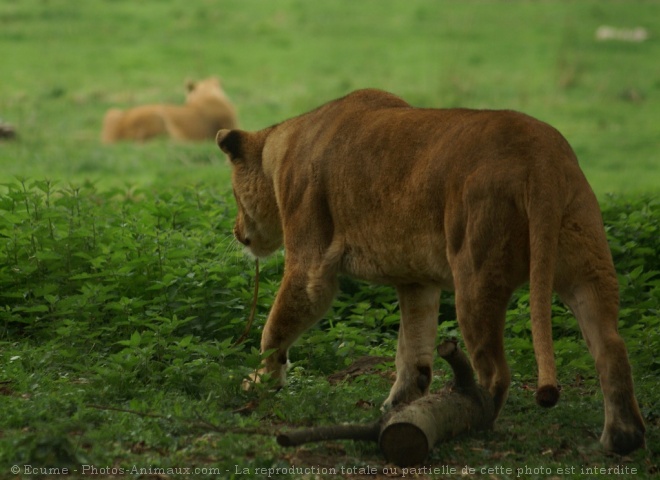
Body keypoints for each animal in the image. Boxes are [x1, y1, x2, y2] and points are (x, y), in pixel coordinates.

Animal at [217, 89, 644, 454]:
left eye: (235, 195)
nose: (237, 232)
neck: (284, 144)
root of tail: (542, 157)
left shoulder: (310, 263)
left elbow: (275, 327)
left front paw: (261, 380)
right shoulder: (416, 279)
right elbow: (414, 348)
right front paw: (398, 405)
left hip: (475, 273)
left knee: (495, 372)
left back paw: (474, 419)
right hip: (588, 267)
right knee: (611, 347)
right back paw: (622, 438)